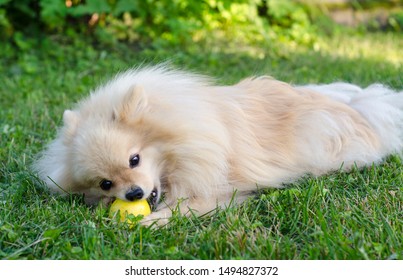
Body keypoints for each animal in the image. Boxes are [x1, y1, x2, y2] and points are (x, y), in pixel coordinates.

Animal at [32, 65, 403, 225]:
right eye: (105, 184)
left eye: (134, 159)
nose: (134, 194)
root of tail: (361, 109)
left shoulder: (215, 188)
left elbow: (183, 208)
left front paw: (147, 222)